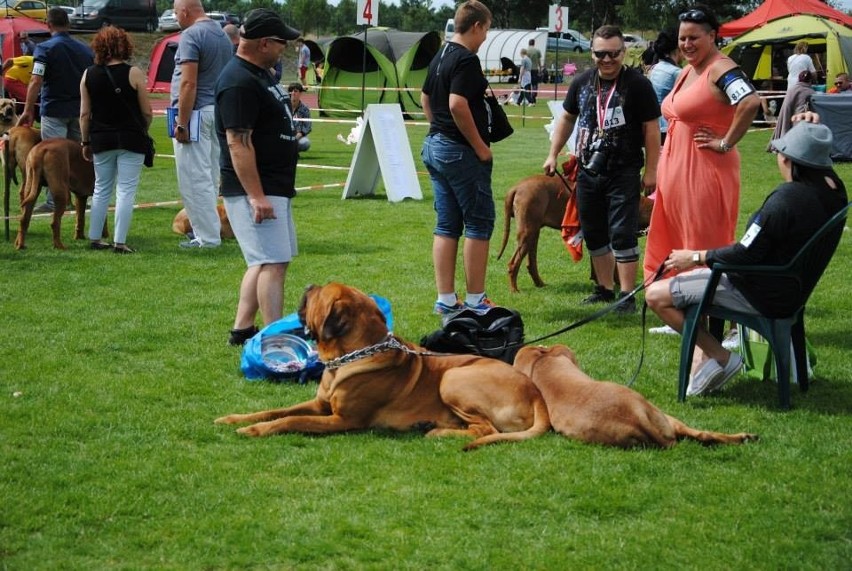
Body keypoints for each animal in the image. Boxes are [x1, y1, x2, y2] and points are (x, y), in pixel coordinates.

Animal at [218, 282, 552, 452]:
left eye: (320, 293)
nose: (310, 284)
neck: (347, 358)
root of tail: (536, 393)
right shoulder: (319, 405)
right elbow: (276, 411)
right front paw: (235, 418)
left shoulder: (342, 420)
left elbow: (290, 420)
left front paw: (255, 430)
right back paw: (428, 425)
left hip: (454, 377)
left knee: (484, 429)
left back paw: (435, 431)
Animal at [512, 346, 760, 450]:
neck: (541, 359)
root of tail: (636, 417)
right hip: (662, 415)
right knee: (702, 434)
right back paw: (745, 437)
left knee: (702, 434)